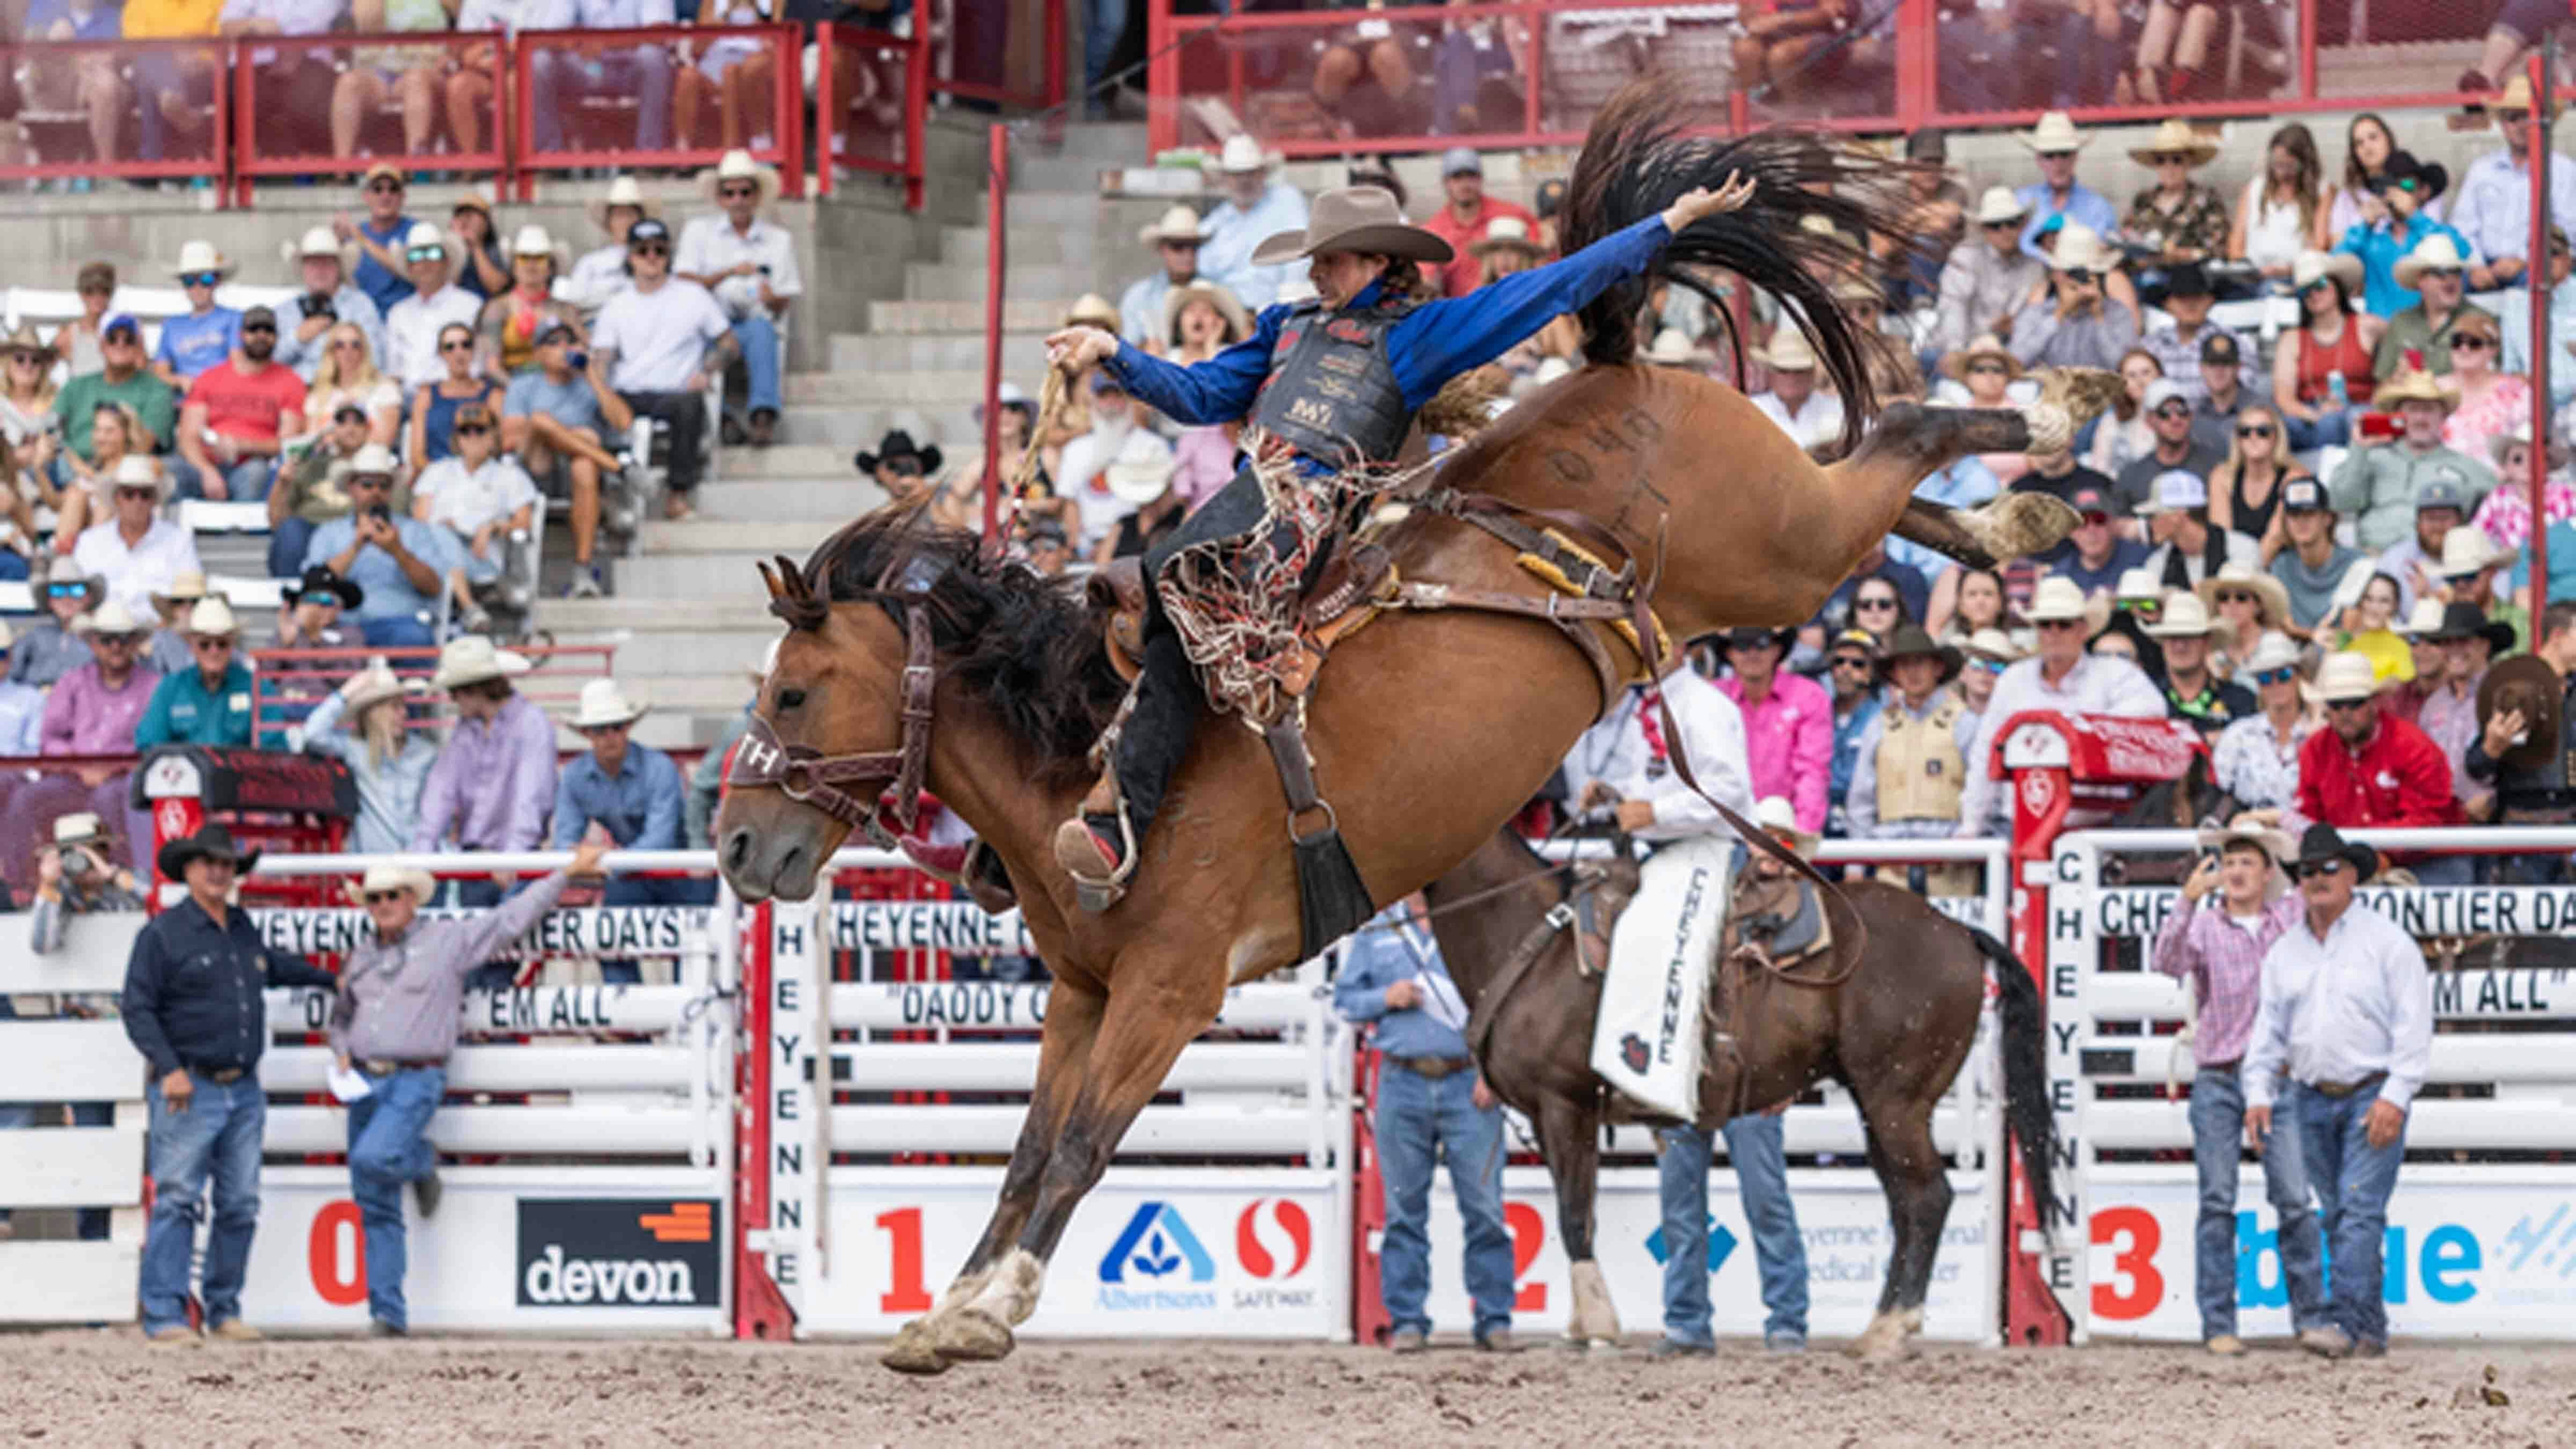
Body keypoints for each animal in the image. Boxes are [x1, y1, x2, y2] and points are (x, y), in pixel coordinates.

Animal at [1422, 825, 2061, 1351]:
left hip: (1896, 1102)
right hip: (1876, 1106)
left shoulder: (1563, 1107)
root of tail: (1958, 930)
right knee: (1905, 1202)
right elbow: (1582, 1211)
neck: (1532, 942)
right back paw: (1880, 1326)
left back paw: (1891, 1331)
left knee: (1928, 1198)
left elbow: (1574, 1215)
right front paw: (1583, 1323)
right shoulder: (1558, 1116)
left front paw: (1598, 1326)